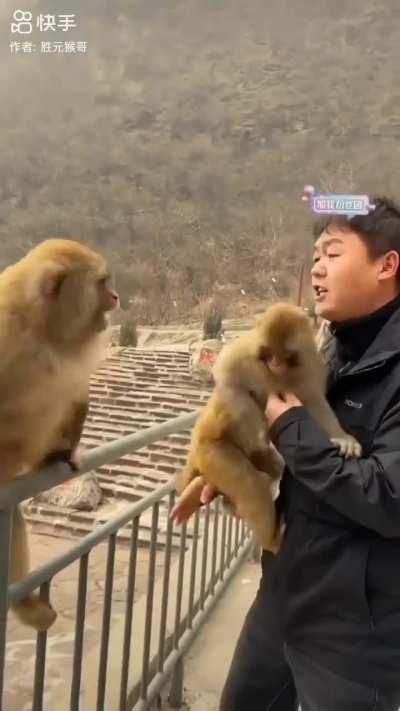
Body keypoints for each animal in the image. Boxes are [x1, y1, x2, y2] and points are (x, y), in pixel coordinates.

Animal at [0, 238, 119, 631]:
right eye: (102, 282)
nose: (116, 296)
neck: (43, 329)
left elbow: (74, 394)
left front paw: (64, 452)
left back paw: (24, 604)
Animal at [175, 302, 361, 552]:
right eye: (270, 354)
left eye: (285, 355)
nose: (276, 364)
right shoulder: (244, 355)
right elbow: (227, 378)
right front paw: (257, 418)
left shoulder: (309, 367)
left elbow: (314, 403)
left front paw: (342, 437)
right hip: (213, 452)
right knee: (250, 482)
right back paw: (272, 540)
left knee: (272, 467)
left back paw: (228, 504)